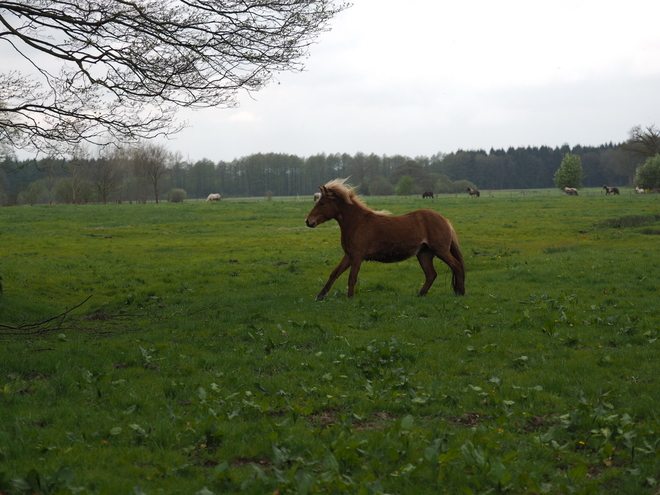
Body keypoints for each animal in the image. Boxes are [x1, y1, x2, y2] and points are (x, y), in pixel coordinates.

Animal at [304, 179, 464, 300]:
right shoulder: (349, 255)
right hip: (424, 254)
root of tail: (445, 221)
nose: (308, 221)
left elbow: (352, 278)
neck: (357, 222)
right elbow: (334, 274)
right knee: (431, 275)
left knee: (457, 266)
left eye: (322, 203)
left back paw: (461, 292)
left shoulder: (357, 256)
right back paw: (420, 295)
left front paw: (350, 298)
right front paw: (320, 296)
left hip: (441, 251)